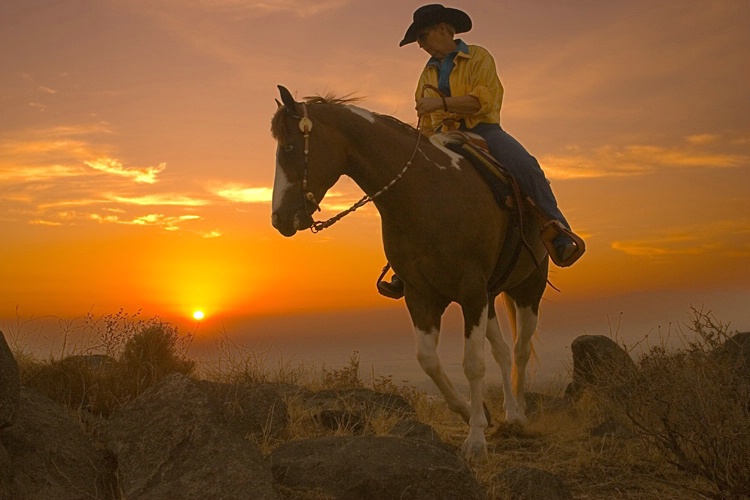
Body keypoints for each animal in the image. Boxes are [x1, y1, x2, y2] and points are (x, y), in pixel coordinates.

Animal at [270, 85, 548, 458]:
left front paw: (475, 439)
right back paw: (509, 412)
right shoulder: (421, 294)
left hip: (528, 288)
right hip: (490, 297)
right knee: (503, 351)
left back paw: (518, 416)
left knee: (520, 348)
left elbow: (473, 363)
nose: (279, 219)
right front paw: (473, 413)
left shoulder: (471, 290)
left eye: (288, 147)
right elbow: (428, 360)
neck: (426, 192)